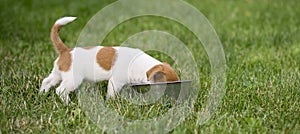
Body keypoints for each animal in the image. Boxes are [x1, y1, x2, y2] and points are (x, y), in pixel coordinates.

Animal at [39, 16, 178, 102]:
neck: (142, 66)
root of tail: (66, 51)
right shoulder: (115, 82)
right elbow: (112, 94)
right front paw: (112, 102)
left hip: (57, 74)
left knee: (46, 81)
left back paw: (42, 94)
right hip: (73, 79)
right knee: (60, 90)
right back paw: (68, 104)